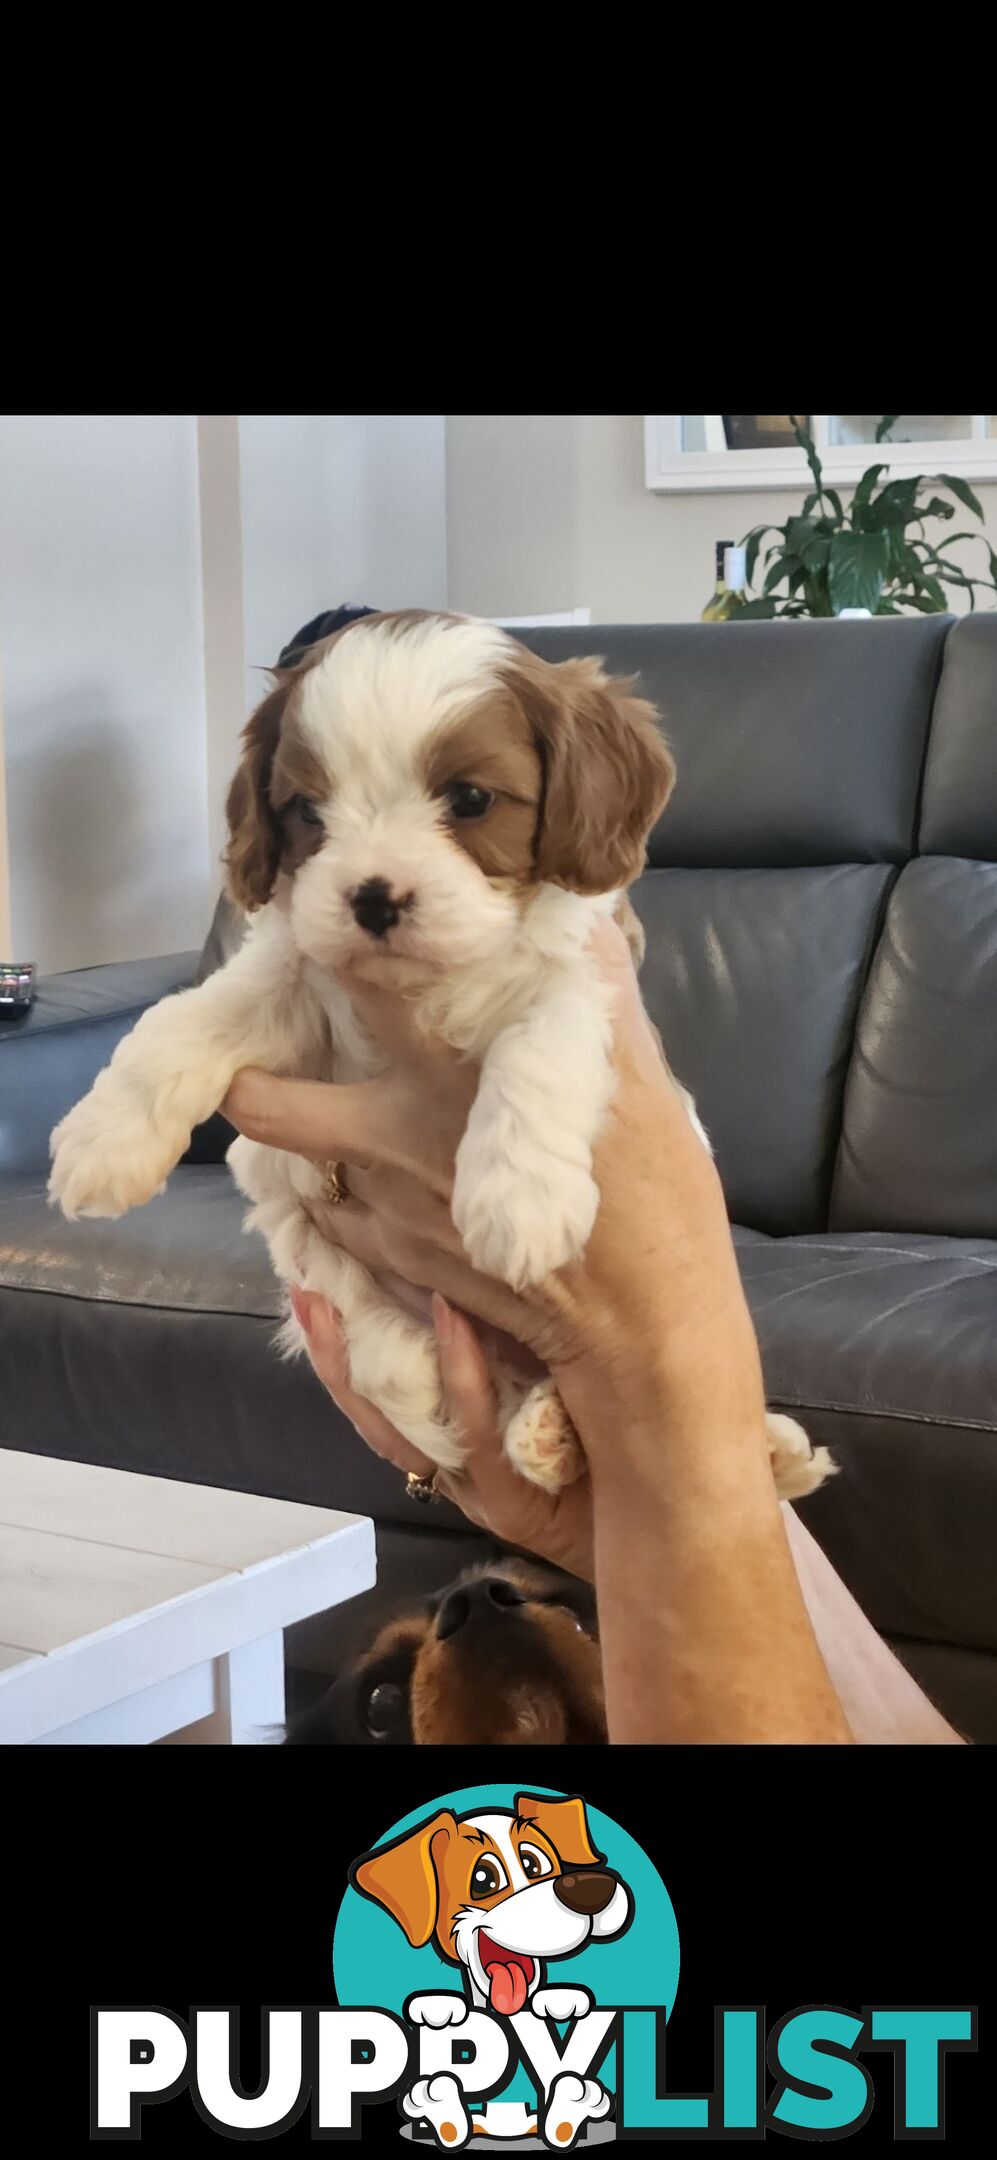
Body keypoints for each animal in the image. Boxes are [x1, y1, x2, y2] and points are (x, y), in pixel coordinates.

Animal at [46, 600, 828, 1494]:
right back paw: (493, 1403)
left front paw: (517, 1198)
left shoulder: (583, 972)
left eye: (471, 798)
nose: (372, 897)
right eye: (306, 812)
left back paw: (731, 1445)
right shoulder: (296, 986)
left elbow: (539, 1044)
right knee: (385, 1345)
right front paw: (103, 1142)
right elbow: (178, 1023)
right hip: (316, 1259)